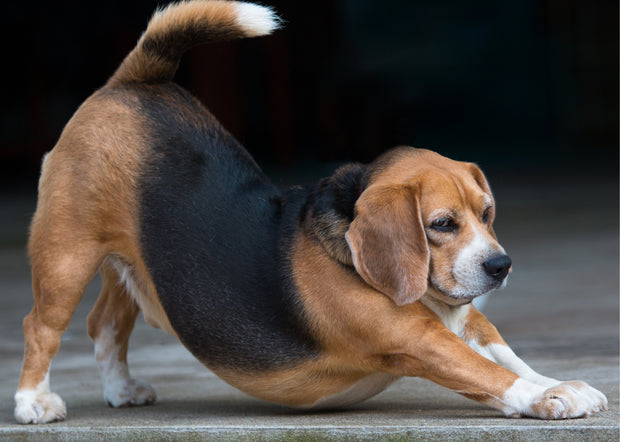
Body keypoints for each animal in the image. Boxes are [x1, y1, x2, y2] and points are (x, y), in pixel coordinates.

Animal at [13, 0, 604, 424]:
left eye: (487, 213)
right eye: (441, 225)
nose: (501, 266)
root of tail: (134, 83)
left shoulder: (469, 320)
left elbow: (508, 355)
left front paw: (559, 383)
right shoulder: (420, 340)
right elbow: (490, 373)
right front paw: (550, 395)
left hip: (132, 260)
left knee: (105, 323)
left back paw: (121, 389)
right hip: (66, 255)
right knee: (40, 326)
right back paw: (33, 402)